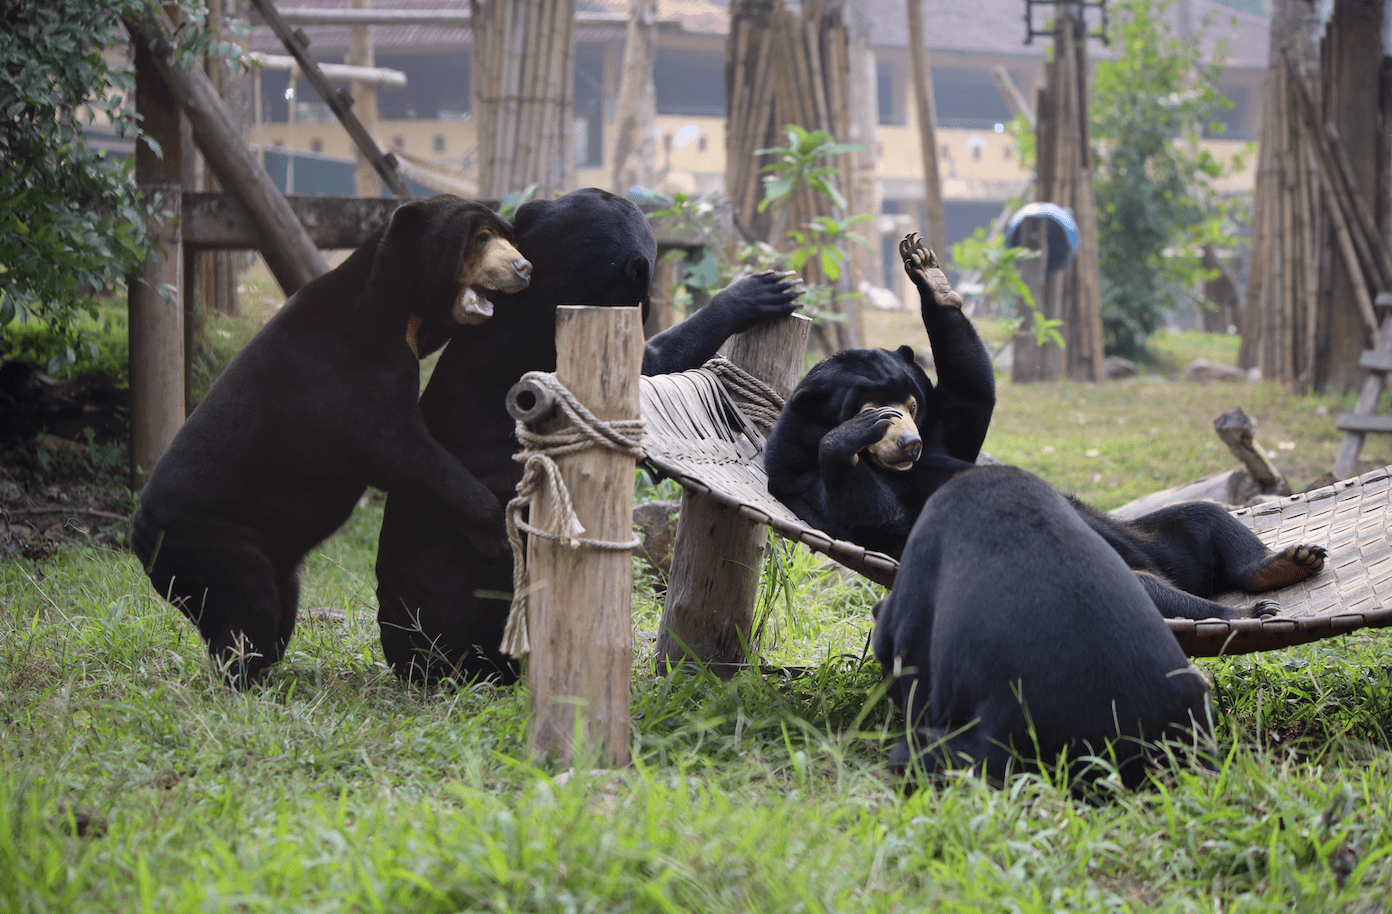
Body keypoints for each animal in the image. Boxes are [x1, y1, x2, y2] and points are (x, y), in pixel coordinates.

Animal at [130, 197, 531, 684]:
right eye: (482, 238)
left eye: (508, 236)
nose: (524, 267)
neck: (395, 312)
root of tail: (140, 536)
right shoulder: (356, 384)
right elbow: (408, 455)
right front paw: (497, 535)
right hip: (216, 546)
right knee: (248, 613)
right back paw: (243, 679)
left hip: (265, 557)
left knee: (274, 611)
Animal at [762, 229, 1002, 556]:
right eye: (873, 411)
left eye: (913, 407)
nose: (911, 444)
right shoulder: (796, 475)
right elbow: (878, 519)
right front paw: (848, 436)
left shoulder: (938, 435)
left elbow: (969, 401)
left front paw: (928, 272)